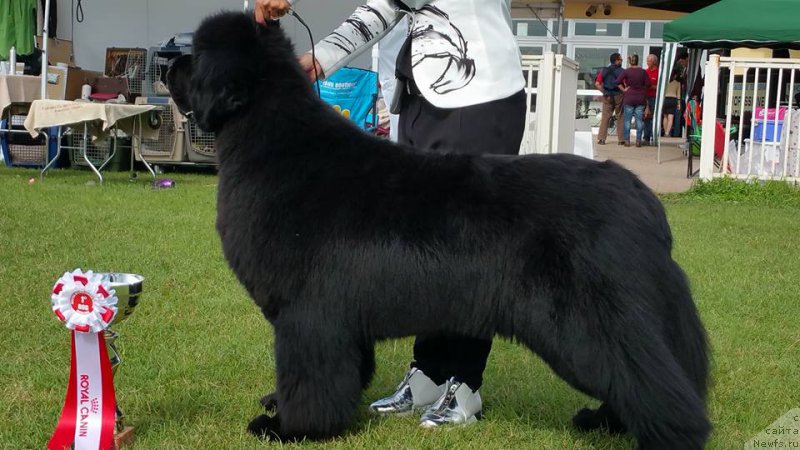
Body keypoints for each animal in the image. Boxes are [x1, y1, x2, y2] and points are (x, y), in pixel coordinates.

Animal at [166, 11, 708, 450]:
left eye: (197, 56)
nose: (169, 63)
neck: (273, 141)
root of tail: (640, 198)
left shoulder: (307, 315)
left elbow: (309, 380)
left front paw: (290, 428)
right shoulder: (336, 318)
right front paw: (283, 405)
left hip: (587, 321)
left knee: (649, 382)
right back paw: (604, 421)